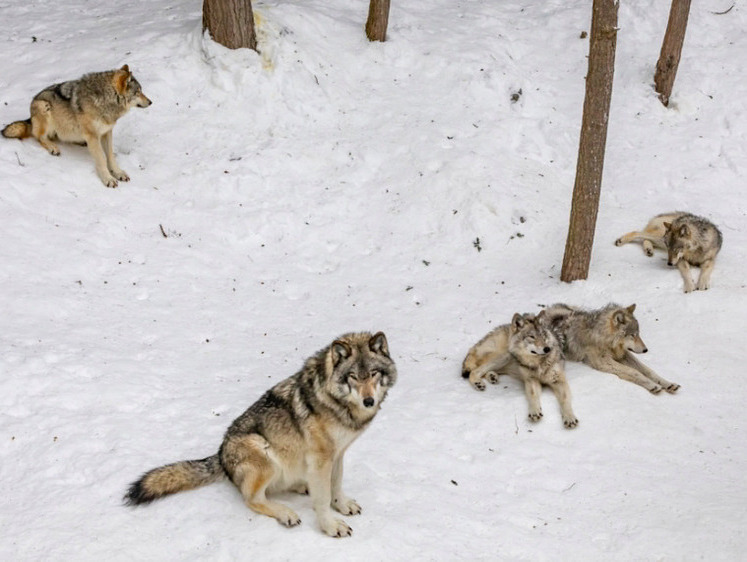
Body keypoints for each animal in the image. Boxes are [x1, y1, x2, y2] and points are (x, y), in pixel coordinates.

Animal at [0, 63, 153, 186]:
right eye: (138, 92)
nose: (151, 102)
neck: (105, 99)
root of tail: (30, 118)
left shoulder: (106, 132)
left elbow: (110, 156)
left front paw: (118, 173)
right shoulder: (93, 135)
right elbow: (101, 159)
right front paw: (108, 179)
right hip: (44, 106)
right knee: (39, 137)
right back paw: (53, 147)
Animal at [124, 330, 398, 536]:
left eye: (373, 374)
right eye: (352, 377)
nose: (369, 401)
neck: (337, 402)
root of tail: (220, 456)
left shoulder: (337, 454)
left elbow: (336, 484)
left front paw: (341, 504)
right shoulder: (322, 458)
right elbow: (322, 499)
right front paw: (330, 527)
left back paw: (302, 486)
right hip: (263, 451)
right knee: (252, 499)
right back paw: (286, 513)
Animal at [540, 302, 680, 394]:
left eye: (638, 333)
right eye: (632, 335)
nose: (646, 350)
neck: (603, 338)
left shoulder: (623, 354)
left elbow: (648, 370)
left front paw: (668, 384)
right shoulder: (604, 362)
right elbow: (633, 371)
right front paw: (652, 385)